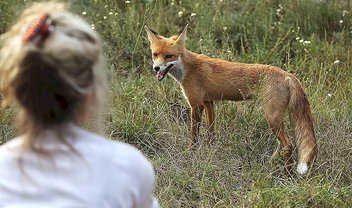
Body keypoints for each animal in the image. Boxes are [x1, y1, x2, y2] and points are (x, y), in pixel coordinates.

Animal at [144, 24, 318, 174]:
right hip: (274, 120)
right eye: (155, 54)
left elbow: (194, 135)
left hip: (271, 117)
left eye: (169, 56)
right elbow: (211, 134)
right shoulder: (208, 102)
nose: (156, 68)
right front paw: (210, 152)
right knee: (280, 146)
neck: (188, 68)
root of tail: (287, 74)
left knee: (288, 145)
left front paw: (190, 153)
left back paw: (287, 174)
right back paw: (269, 165)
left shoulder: (196, 104)